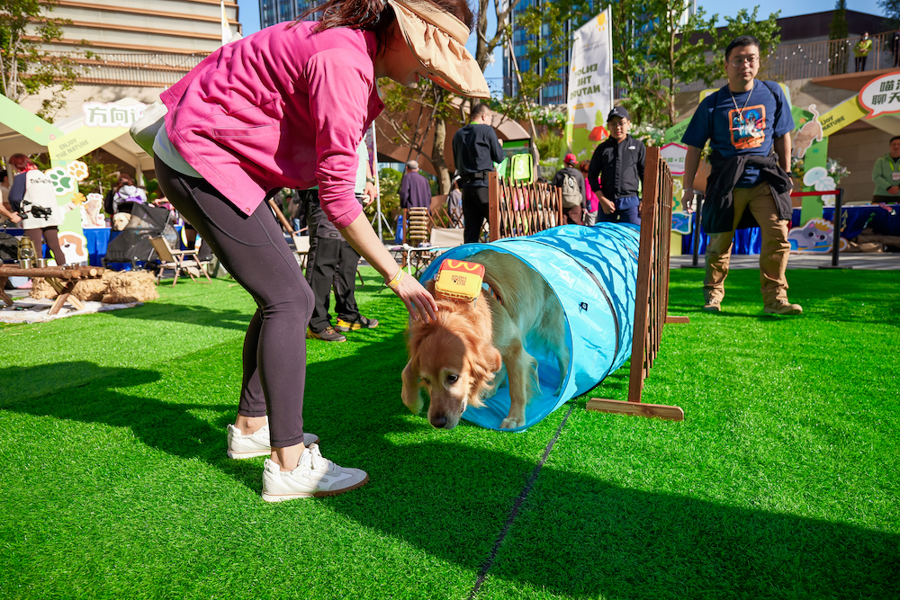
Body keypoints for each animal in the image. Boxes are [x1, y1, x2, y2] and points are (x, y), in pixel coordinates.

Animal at [401, 249, 568, 430]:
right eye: (426, 380)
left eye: (453, 378)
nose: (437, 422)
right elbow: (406, 371)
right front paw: (413, 402)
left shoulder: (514, 344)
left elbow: (517, 388)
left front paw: (515, 419)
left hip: (550, 330)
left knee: (564, 355)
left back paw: (562, 386)